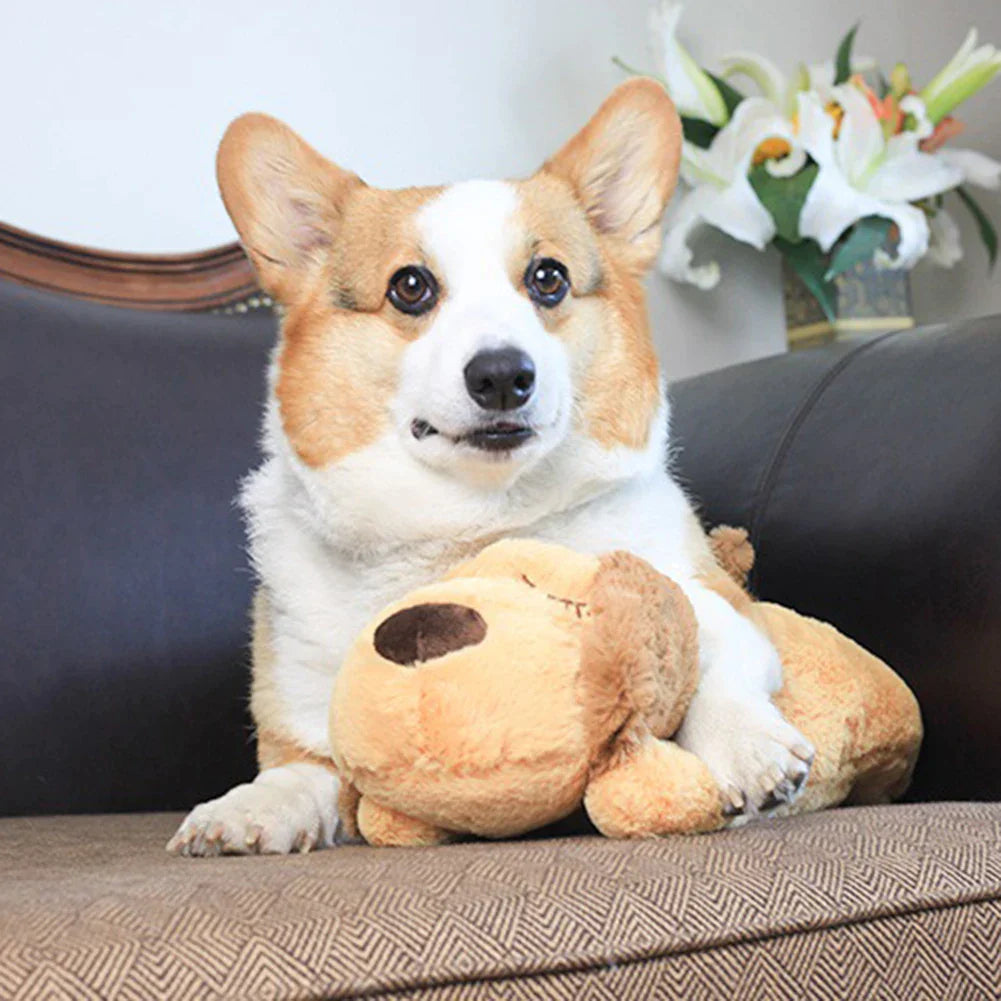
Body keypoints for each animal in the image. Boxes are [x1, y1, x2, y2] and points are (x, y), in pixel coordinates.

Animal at [170, 82, 812, 856]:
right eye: (410, 286)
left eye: (549, 278)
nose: (504, 375)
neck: (472, 527)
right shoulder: (303, 714)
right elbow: (301, 771)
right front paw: (247, 808)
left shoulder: (711, 597)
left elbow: (707, 649)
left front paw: (745, 745)